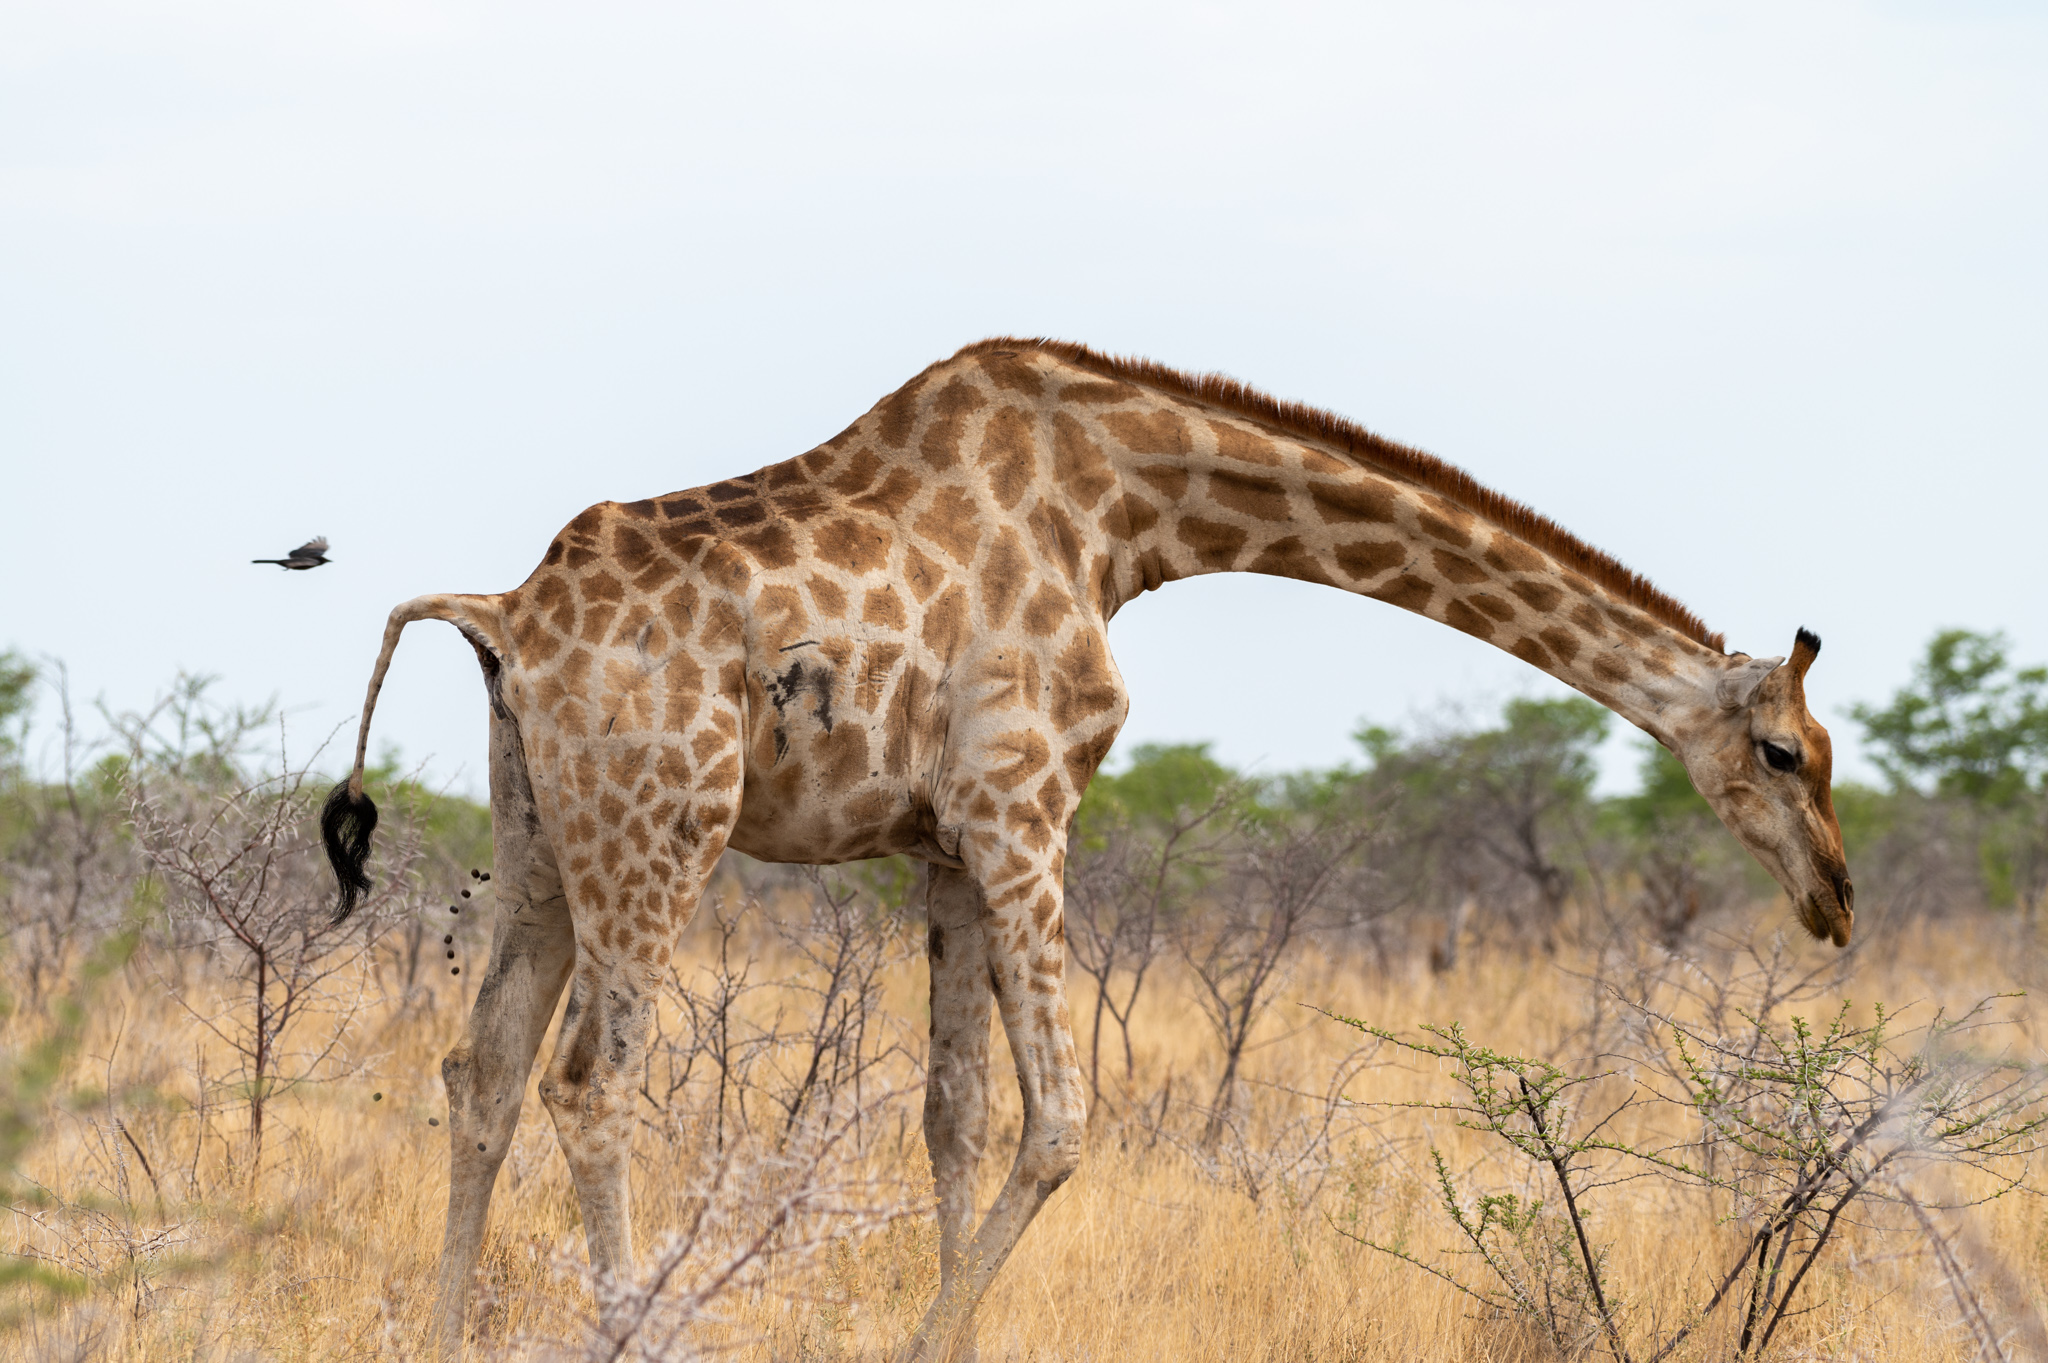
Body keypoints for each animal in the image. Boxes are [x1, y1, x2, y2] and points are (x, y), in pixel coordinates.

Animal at [323, 333, 1859, 1350]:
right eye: (1783, 752)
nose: (1836, 899)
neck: (1128, 512)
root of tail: (504, 614)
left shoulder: (947, 839)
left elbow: (951, 1114)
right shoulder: (1025, 801)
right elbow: (1061, 1122)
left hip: (540, 832)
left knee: (482, 1066)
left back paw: (446, 1337)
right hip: (665, 823)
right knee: (590, 1079)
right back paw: (637, 1325)